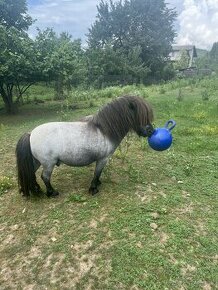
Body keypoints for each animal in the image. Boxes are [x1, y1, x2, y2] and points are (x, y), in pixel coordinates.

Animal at [16, 95, 154, 197]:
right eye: (140, 116)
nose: (151, 131)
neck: (104, 130)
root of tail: (31, 133)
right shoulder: (103, 159)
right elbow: (97, 173)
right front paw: (93, 188)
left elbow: (98, 174)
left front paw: (98, 183)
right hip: (48, 164)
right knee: (44, 177)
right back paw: (51, 193)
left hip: (36, 162)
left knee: (31, 174)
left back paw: (34, 190)